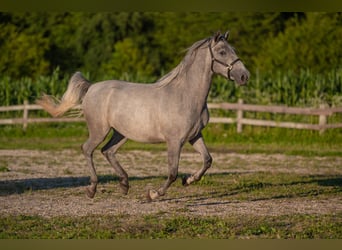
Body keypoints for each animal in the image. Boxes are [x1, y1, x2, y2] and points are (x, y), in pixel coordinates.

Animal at [37, 30, 250, 201]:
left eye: (233, 49)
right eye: (222, 52)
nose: (244, 76)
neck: (186, 95)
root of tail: (92, 87)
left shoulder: (194, 136)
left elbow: (207, 160)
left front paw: (188, 180)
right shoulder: (175, 141)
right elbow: (172, 172)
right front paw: (154, 194)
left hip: (121, 133)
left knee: (108, 151)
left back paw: (124, 185)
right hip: (99, 130)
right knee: (88, 149)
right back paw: (92, 189)